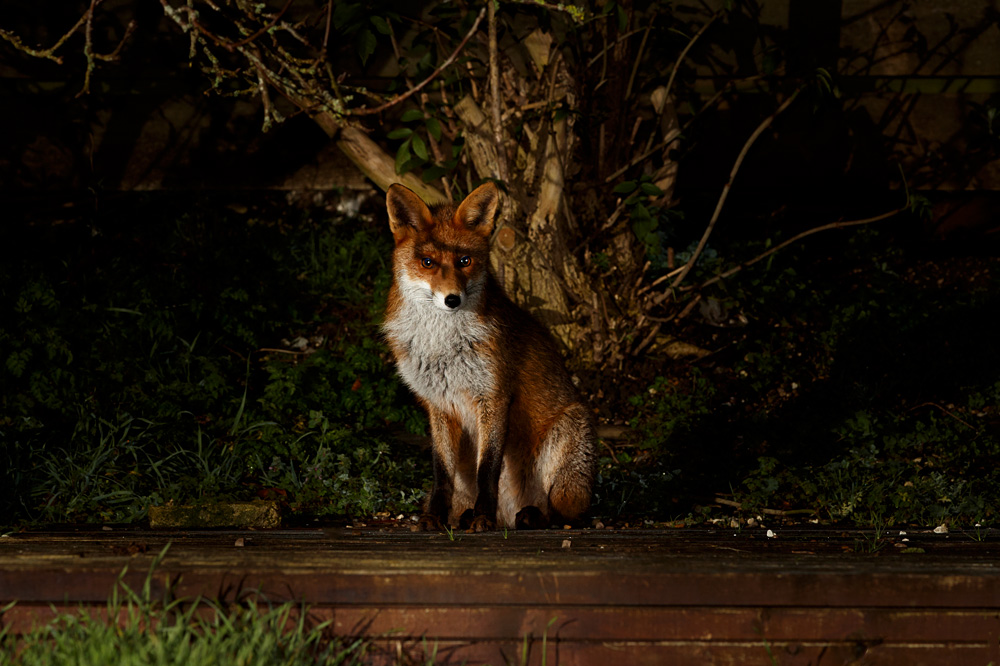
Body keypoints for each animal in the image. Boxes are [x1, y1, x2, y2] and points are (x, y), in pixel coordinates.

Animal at [382, 182, 597, 532]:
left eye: (465, 260)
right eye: (427, 262)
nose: (452, 299)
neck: (442, 346)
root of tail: (508, 515)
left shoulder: (493, 397)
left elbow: (487, 470)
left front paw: (483, 518)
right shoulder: (438, 406)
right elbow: (441, 474)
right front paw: (434, 518)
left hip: (569, 440)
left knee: (564, 514)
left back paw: (528, 517)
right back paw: (465, 516)